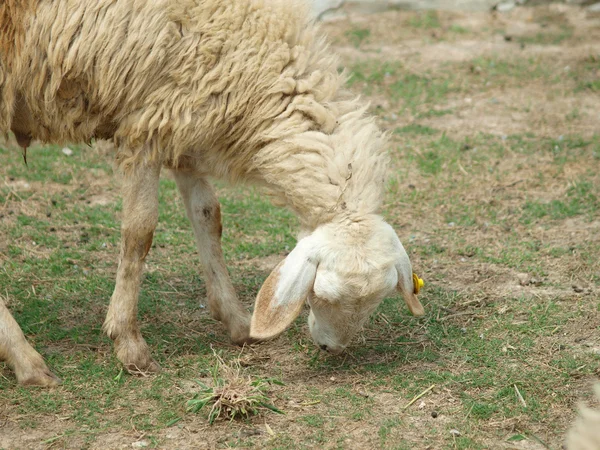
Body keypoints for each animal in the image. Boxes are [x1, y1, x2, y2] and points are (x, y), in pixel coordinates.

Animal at [0, 0, 424, 386]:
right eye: (321, 294)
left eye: (376, 301)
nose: (330, 349)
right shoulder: (145, 126)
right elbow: (140, 232)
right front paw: (129, 344)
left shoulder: (185, 119)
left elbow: (209, 215)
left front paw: (236, 321)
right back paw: (27, 361)